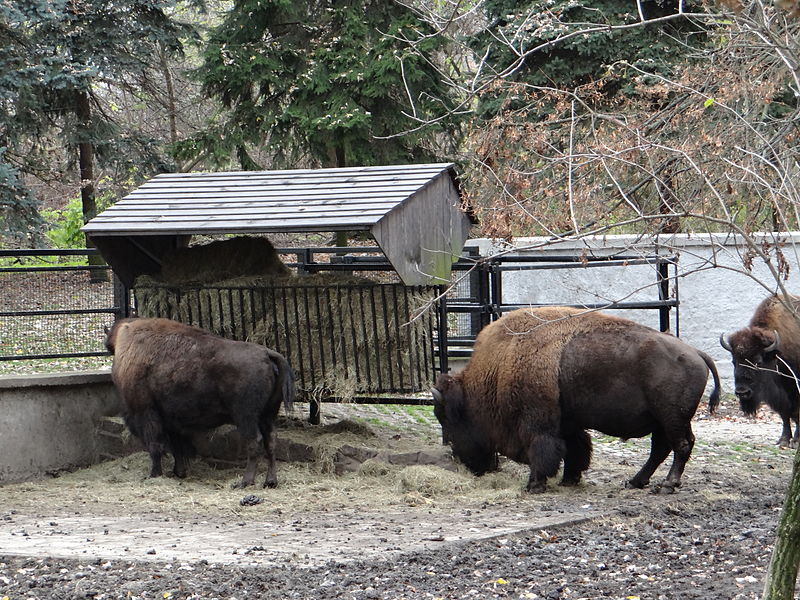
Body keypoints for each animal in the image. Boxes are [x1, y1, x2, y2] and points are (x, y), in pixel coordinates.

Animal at [104, 318, 296, 488]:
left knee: (254, 442)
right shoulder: (171, 421)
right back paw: (270, 482)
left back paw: (244, 482)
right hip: (268, 415)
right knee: (270, 442)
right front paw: (179, 472)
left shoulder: (147, 413)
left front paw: (154, 474)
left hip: (245, 416)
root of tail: (267, 354)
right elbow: (176, 447)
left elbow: (156, 446)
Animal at [434, 308, 720, 494]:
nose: (464, 462)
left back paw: (666, 486)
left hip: (671, 417)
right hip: (664, 420)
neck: (499, 366)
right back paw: (635, 482)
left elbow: (543, 451)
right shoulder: (567, 424)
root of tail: (696, 353)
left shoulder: (537, 424)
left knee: (680, 446)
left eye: (449, 418)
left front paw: (534, 485)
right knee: (662, 448)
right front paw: (569, 480)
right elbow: (576, 448)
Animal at [720, 292, 800, 448]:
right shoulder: (779, 396)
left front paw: (796, 441)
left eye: (758, 361)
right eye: (734, 361)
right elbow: (785, 414)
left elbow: (796, 413)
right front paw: (783, 440)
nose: (742, 392)